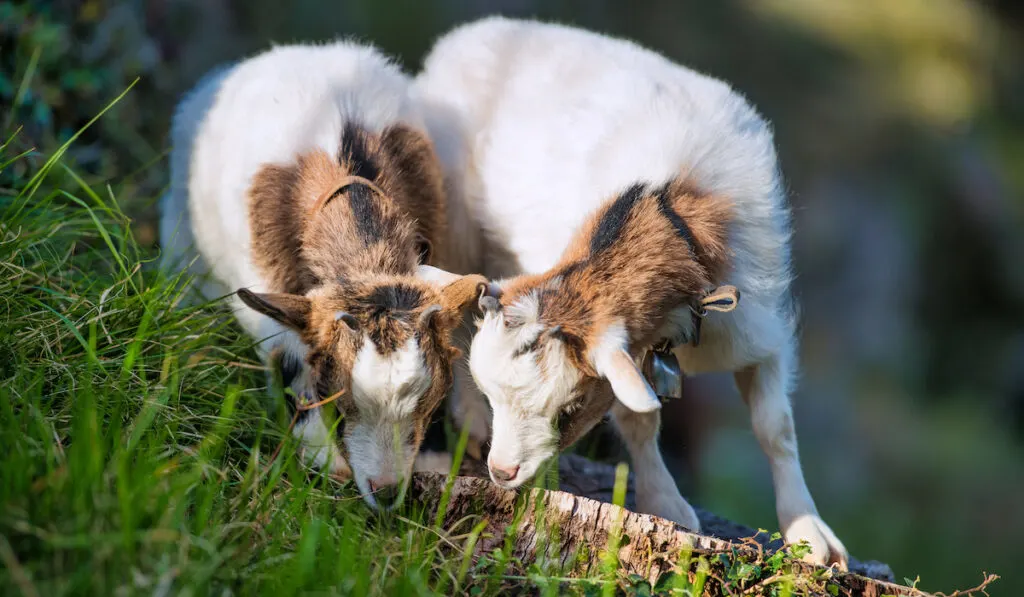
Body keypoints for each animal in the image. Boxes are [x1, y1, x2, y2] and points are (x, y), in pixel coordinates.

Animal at [413, 16, 847, 569]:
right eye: (495, 394)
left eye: (570, 408)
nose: (502, 474)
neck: (668, 206)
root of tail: (473, 31)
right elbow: (639, 420)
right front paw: (667, 503)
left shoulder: (758, 330)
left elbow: (777, 428)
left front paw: (810, 534)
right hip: (458, 223)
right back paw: (471, 425)